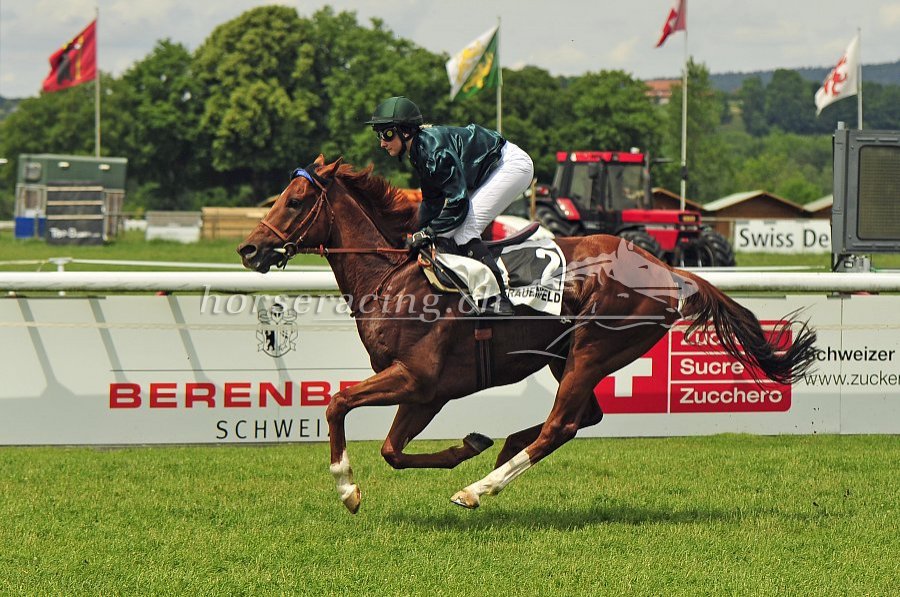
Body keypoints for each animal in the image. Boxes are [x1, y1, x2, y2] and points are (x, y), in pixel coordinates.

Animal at [238, 155, 817, 514]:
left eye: (294, 201)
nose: (248, 249)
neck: (395, 277)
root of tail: (666, 267)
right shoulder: (427, 391)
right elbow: (392, 449)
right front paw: (470, 444)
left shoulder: (417, 378)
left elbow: (338, 404)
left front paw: (347, 489)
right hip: (566, 355)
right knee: (583, 418)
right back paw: (501, 451)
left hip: (593, 349)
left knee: (562, 425)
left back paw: (479, 488)